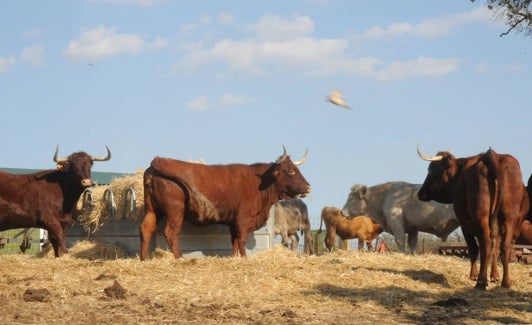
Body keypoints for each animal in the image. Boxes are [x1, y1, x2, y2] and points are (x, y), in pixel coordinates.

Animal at [140, 146, 312, 258]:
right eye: (291, 171)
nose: (308, 187)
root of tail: (157, 162)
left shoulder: (233, 222)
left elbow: (234, 241)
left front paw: (235, 258)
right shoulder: (242, 220)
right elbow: (241, 240)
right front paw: (244, 259)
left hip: (152, 209)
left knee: (146, 229)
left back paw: (144, 258)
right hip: (175, 210)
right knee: (171, 232)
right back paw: (180, 258)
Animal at [420, 146, 528, 288]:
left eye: (432, 169)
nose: (420, 193)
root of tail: (492, 155)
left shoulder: (464, 222)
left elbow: (473, 248)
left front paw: (474, 275)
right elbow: (495, 250)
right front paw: (495, 276)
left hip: (481, 218)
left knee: (485, 244)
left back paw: (481, 281)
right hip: (509, 218)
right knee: (505, 247)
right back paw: (506, 282)